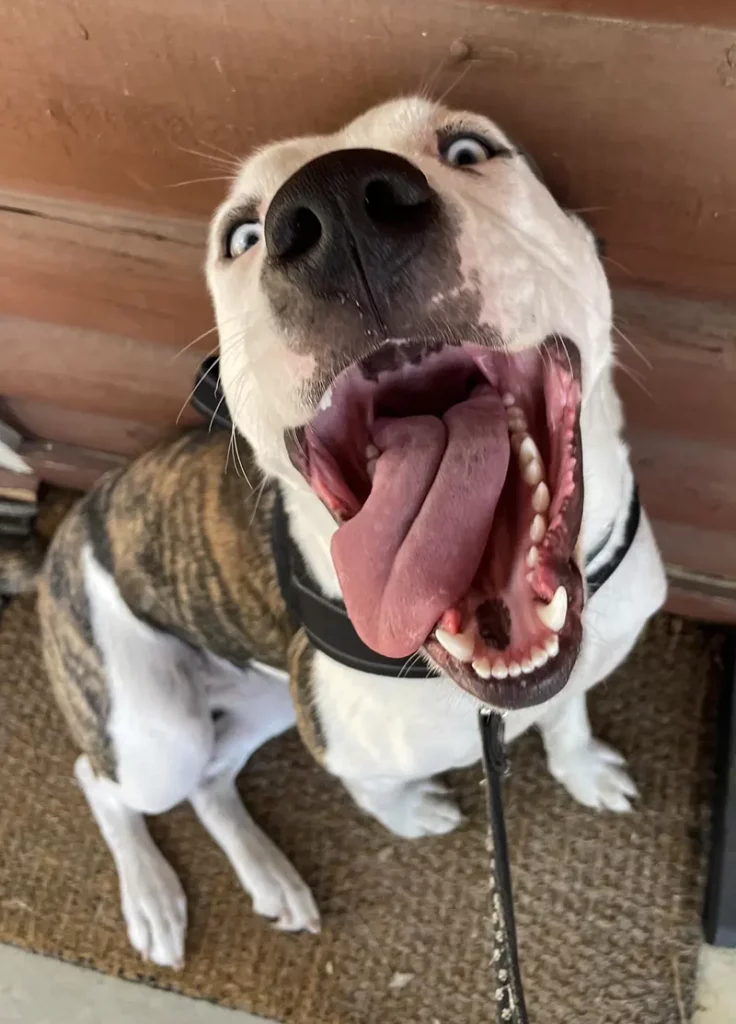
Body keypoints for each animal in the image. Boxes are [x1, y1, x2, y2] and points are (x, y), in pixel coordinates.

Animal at [27, 96, 667, 966]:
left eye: (469, 149)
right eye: (241, 234)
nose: (334, 207)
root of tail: (66, 533)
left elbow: (568, 715)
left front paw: (584, 770)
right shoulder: (339, 743)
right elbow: (372, 792)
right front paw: (411, 812)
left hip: (257, 705)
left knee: (213, 781)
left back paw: (270, 879)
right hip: (156, 731)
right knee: (104, 781)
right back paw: (152, 897)